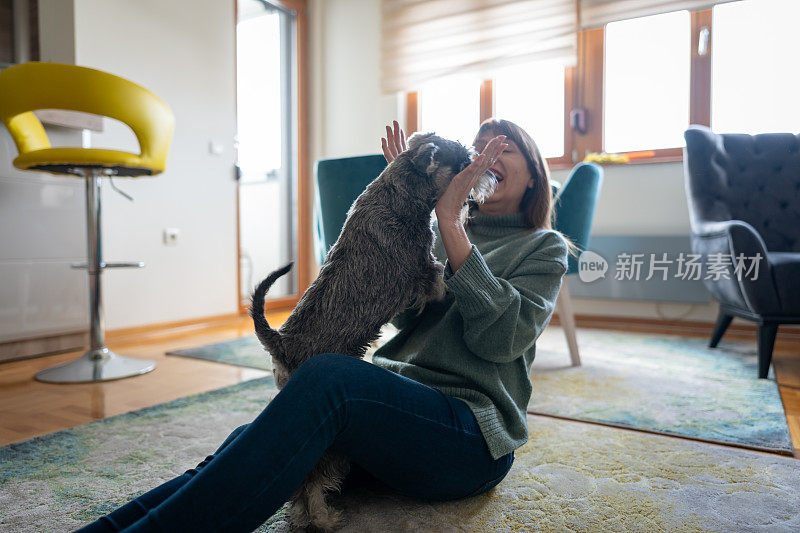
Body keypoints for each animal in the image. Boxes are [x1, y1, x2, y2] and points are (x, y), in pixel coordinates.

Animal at [250, 131, 496, 528]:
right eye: (463, 163)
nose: (490, 178)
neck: (401, 190)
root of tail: (282, 342)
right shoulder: (426, 274)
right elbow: (442, 283)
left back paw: (304, 517)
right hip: (333, 441)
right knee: (314, 476)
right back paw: (323, 517)